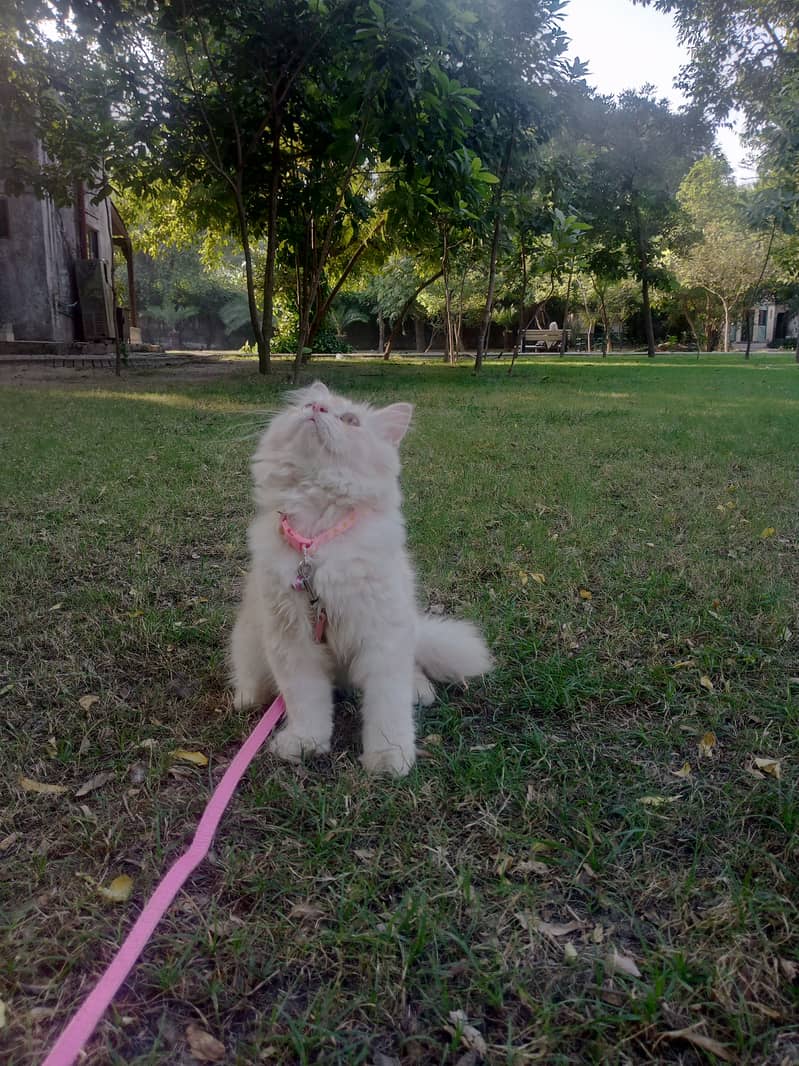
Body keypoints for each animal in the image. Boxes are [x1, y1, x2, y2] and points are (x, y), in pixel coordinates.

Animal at [230, 383, 494, 776]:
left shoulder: (382, 636)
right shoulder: (292, 640)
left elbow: (388, 709)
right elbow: (306, 703)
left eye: (351, 420)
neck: (317, 538)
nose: (317, 408)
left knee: (412, 671)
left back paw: (420, 691)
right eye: (311, 404)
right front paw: (305, 743)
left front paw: (388, 759)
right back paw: (246, 698)